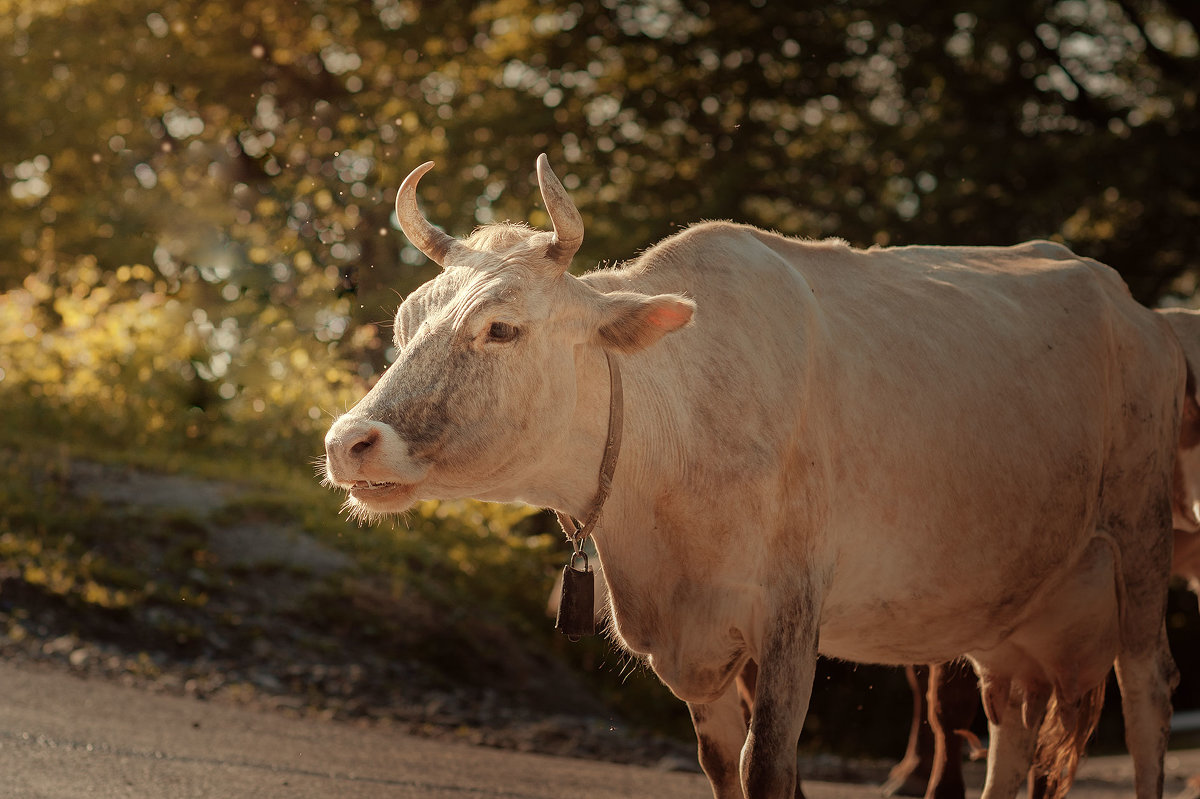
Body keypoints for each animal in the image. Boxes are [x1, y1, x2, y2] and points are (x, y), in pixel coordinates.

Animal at [324, 155, 1185, 796]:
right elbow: (722, 768)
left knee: (1147, 697)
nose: (346, 442)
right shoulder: (693, 648)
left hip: (1140, 546)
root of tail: (1136, 310)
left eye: (501, 327)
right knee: (1006, 729)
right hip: (1011, 612)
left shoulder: (791, 613)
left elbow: (767, 767)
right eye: (403, 323)